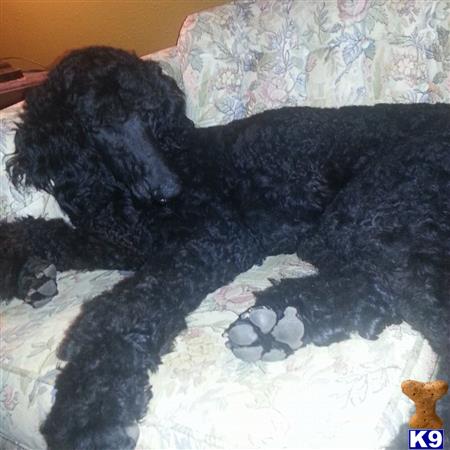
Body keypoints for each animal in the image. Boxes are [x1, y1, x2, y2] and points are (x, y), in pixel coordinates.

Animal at [0, 46, 450, 450]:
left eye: (149, 114)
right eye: (99, 125)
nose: (168, 188)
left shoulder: (218, 238)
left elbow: (128, 307)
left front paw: (93, 408)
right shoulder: (120, 243)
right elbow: (38, 232)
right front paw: (24, 270)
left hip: (371, 216)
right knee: (380, 292)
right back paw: (279, 323)